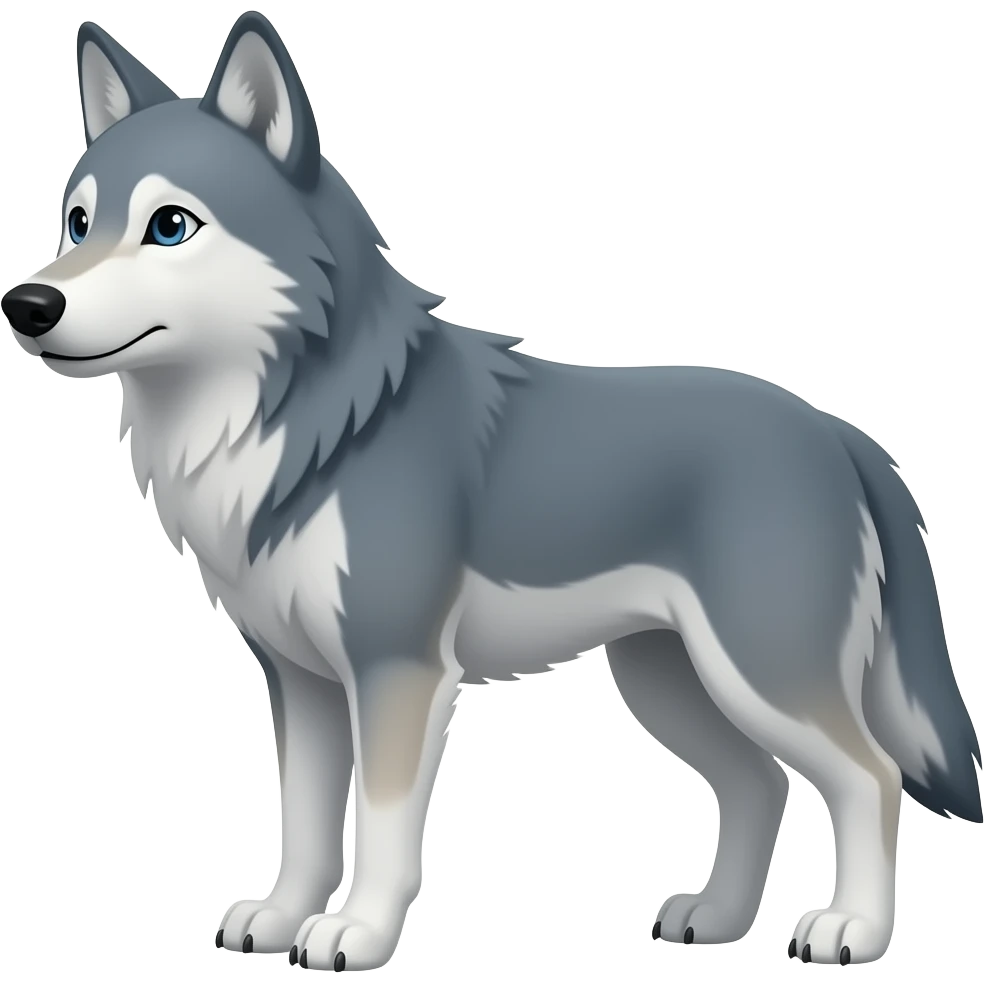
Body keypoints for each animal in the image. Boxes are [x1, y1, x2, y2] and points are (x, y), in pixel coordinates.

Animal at [2, 10, 978, 973]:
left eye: (169, 226)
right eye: (77, 222)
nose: (28, 304)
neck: (306, 423)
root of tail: (840, 432)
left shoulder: (398, 670)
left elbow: (382, 827)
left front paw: (357, 934)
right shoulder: (300, 680)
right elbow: (306, 825)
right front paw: (279, 921)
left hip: (761, 675)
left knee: (871, 778)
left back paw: (852, 929)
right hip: (670, 682)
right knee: (760, 783)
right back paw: (717, 918)